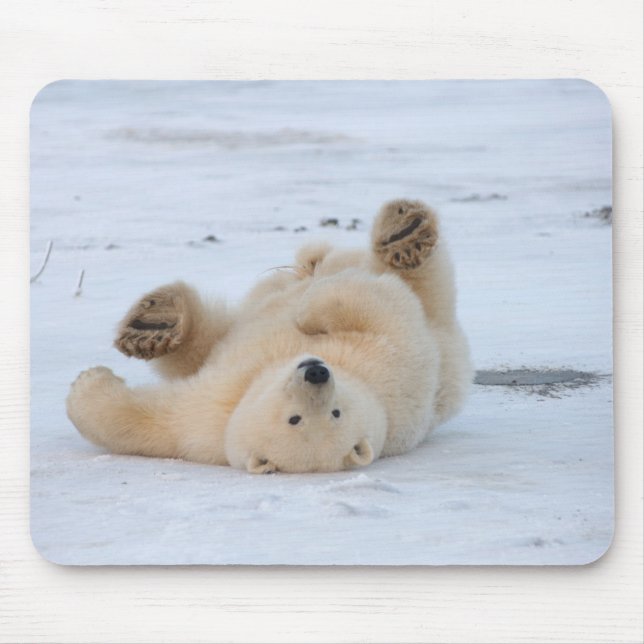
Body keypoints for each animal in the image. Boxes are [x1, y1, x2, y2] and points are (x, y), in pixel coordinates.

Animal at [66, 199, 472, 473]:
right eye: (295, 419)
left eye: (334, 413)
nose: (316, 371)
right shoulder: (211, 415)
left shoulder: (392, 364)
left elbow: (380, 308)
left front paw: (86, 383)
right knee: (214, 334)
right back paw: (154, 325)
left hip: (442, 331)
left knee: (422, 285)